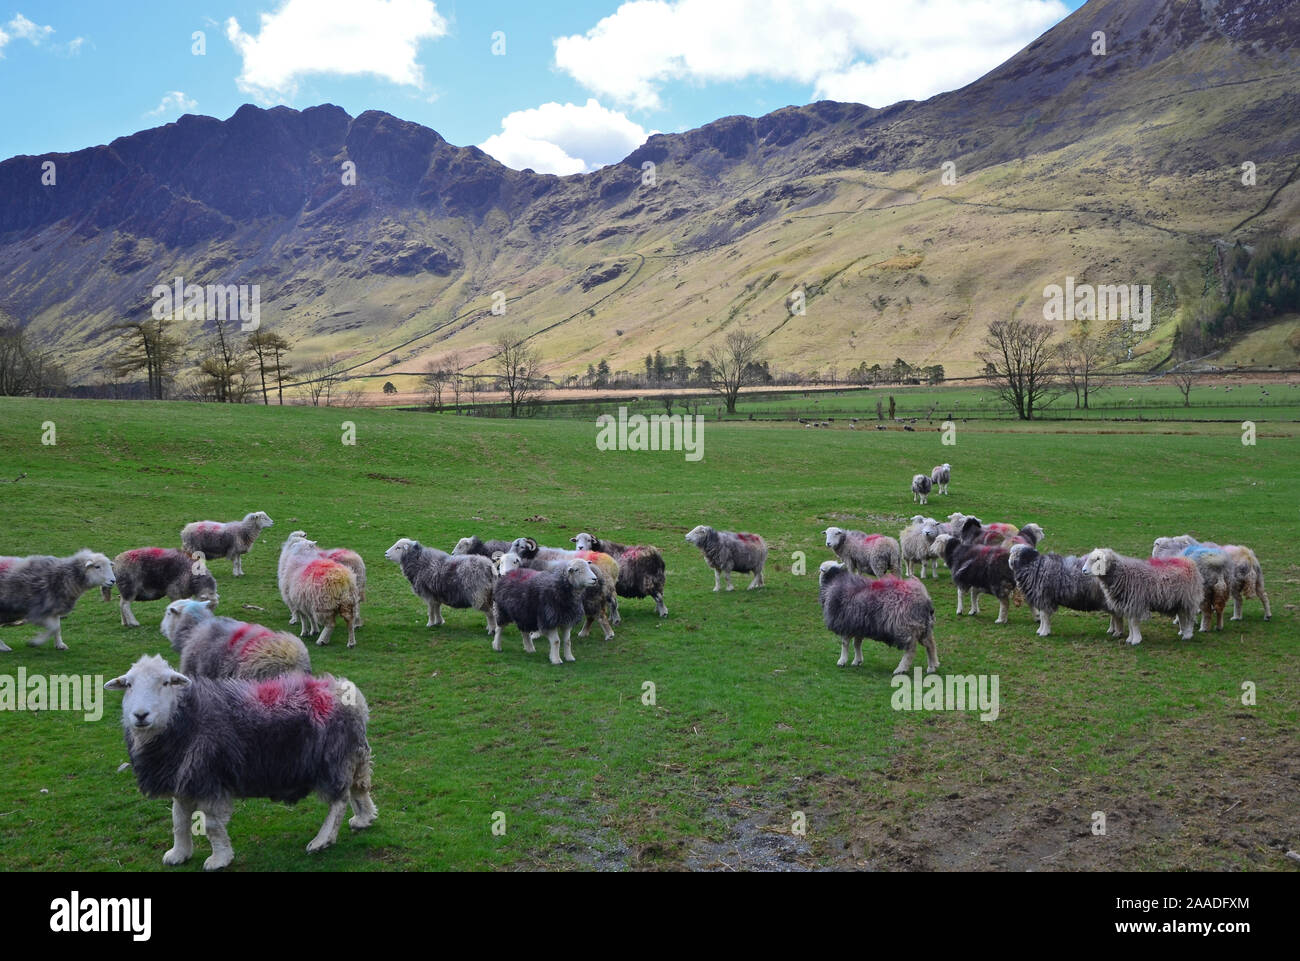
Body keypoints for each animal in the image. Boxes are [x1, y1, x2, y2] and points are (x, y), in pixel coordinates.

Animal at [106, 654, 375, 870]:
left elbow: (212, 825)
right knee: (359, 787)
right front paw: (179, 854)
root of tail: (352, 697)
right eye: (128, 684)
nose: (140, 715)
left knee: (339, 801)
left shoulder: (210, 778)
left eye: (165, 683)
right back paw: (364, 819)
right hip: (354, 755)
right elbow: (178, 820)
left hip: (333, 759)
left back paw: (322, 840)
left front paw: (219, 859)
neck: (185, 717)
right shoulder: (184, 779)